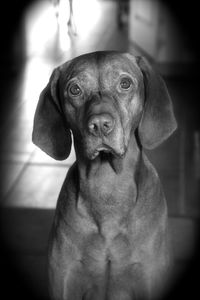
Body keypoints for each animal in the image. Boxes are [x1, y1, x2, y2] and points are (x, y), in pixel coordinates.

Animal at [32, 51, 177, 300]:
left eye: (125, 83)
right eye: (75, 89)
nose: (100, 125)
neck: (108, 188)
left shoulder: (150, 277)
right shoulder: (64, 281)